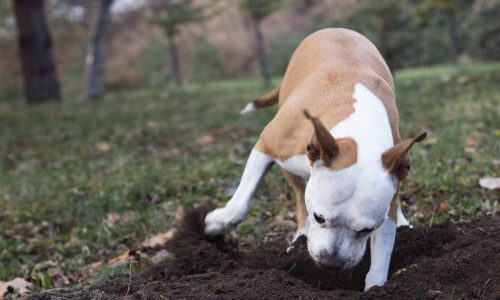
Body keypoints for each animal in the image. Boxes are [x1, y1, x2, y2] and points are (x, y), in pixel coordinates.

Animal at [203, 28, 426, 290]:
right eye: (320, 217)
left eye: (366, 229)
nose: (332, 263)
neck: (358, 128)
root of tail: (336, 28)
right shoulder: (266, 146)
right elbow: (240, 203)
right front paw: (217, 222)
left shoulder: (388, 182)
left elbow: (383, 248)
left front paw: (376, 286)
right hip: (289, 167)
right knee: (300, 195)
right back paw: (300, 234)